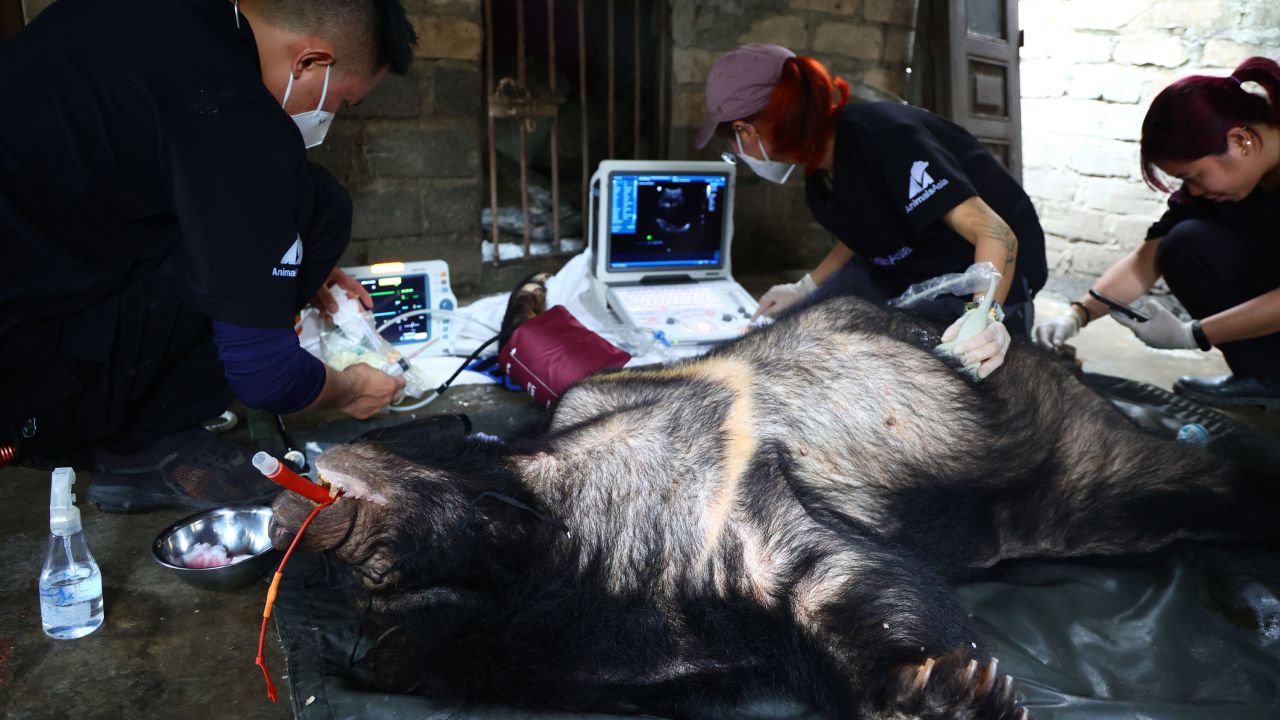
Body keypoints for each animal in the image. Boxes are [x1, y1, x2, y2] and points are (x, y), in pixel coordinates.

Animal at [270, 293, 1280, 717]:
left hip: (1069, 449)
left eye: (370, 575)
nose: (297, 483)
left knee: (1183, 477)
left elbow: (844, 577)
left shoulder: (723, 483)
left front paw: (947, 693)